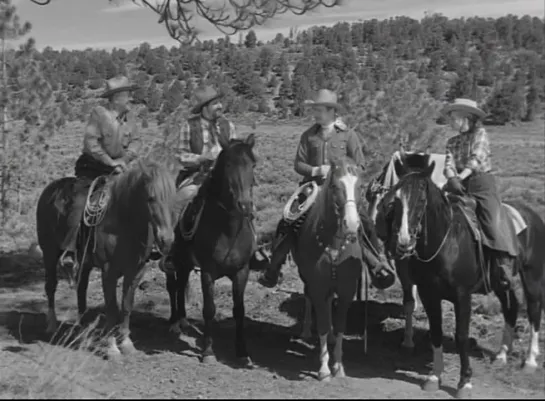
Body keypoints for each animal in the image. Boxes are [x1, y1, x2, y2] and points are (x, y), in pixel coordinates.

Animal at [36, 159, 175, 360]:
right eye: (151, 198)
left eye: (172, 198)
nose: (167, 240)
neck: (123, 223)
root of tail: (51, 189)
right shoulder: (109, 271)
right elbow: (111, 309)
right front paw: (112, 348)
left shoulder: (136, 271)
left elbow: (126, 306)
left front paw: (126, 344)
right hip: (49, 252)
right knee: (51, 286)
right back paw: (52, 325)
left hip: (84, 263)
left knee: (81, 290)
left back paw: (83, 330)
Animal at [166, 134, 258, 366]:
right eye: (228, 164)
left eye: (253, 164)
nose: (245, 205)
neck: (228, 229)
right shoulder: (208, 271)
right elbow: (209, 309)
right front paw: (207, 351)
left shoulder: (241, 271)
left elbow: (239, 310)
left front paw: (242, 352)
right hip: (172, 259)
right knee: (172, 286)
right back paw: (174, 322)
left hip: (186, 262)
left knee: (181, 283)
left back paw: (183, 320)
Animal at [378, 152, 544, 396]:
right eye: (395, 200)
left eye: (421, 199)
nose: (404, 243)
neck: (446, 243)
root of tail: (533, 215)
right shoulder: (428, 294)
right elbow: (436, 332)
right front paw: (434, 377)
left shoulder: (462, 295)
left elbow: (462, 336)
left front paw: (464, 381)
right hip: (500, 282)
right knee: (511, 306)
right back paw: (502, 355)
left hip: (532, 275)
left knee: (533, 308)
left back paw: (530, 361)